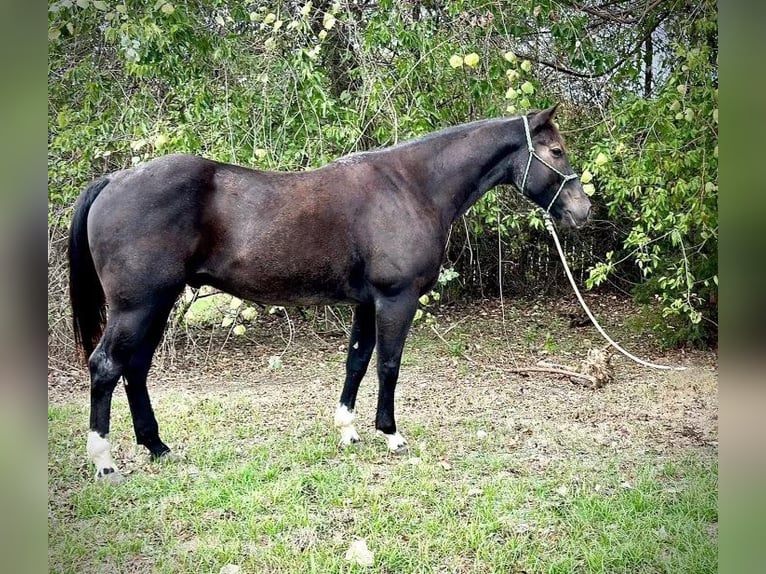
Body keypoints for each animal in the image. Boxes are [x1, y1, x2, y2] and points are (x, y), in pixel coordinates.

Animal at [67, 104, 592, 482]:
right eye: (557, 151)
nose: (582, 210)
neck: (412, 186)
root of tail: (115, 179)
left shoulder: (366, 302)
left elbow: (357, 361)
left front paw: (348, 430)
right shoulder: (395, 299)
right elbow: (388, 364)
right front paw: (390, 434)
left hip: (156, 304)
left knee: (135, 369)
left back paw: (157, 447)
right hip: (137, 307)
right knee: (107, 367)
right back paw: (105, 462)